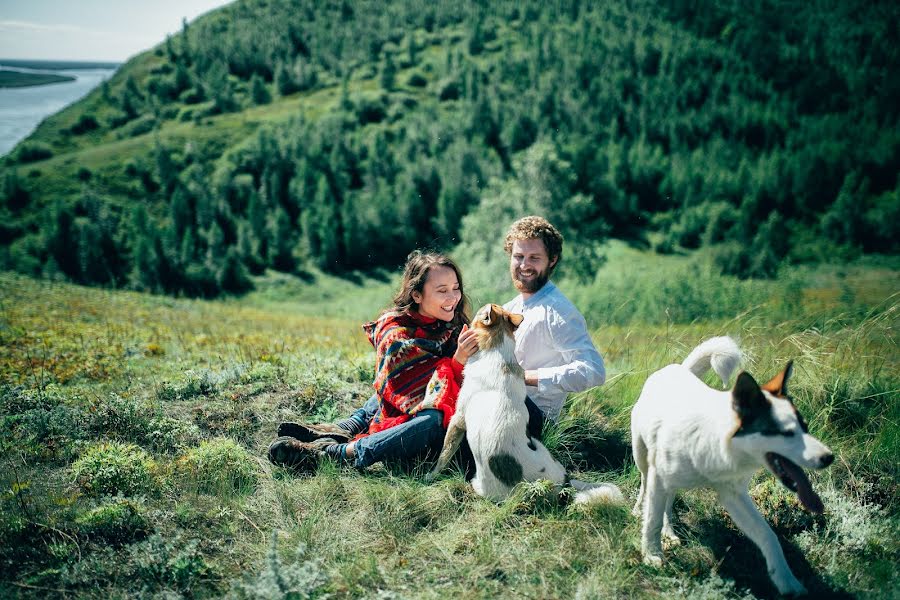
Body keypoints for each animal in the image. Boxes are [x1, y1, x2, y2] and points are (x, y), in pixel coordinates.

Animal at [426, 302, 624, 504]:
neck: (497, 349)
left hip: (481, 483)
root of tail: (564, 485)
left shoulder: (457, 420)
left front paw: (431, 475)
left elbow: (445, 452)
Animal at [628, 338, 832, 596]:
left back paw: (670, 531)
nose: (829, 457)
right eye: (785, 433)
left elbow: (768, 535)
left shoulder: (733, 496)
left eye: (804, 428)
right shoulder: (659, 478)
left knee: (668, 502)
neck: (716, 442)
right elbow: (651, 521)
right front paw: (652, 555)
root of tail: (678, 369)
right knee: (645, 485)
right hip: (643, 459)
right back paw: (641, 511)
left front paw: (787, 581)